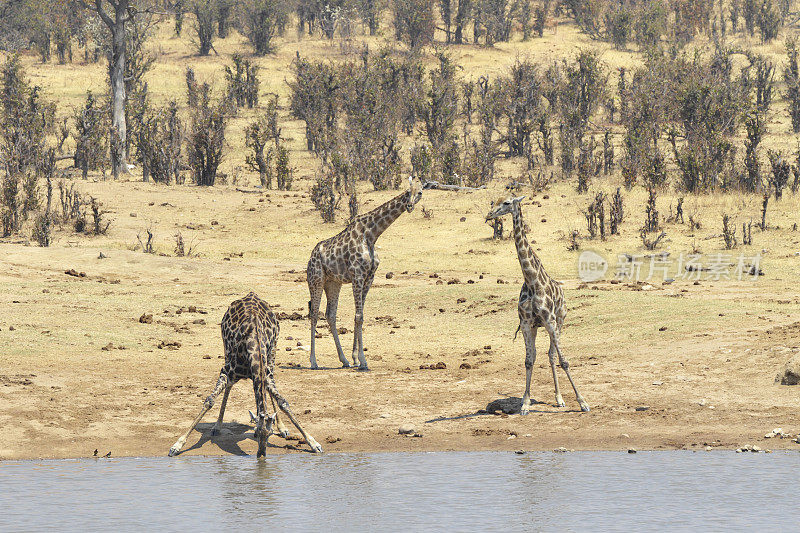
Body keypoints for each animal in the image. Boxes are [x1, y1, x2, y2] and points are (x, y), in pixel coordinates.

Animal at [169, 290, 322, 458]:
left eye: (268, 434)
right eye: (258, 432)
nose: (261, 455)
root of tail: (251, 294)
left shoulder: (265, 374)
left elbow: (283, 402)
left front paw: (313, 443)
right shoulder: (227, 371)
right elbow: (209, 400)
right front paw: (177, 445)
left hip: (273, 350)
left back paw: (282, 428)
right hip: (226, 349)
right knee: (229, 387)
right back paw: (217, 426)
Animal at [306, 179, 424, 370]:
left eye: (420, 192)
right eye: (407, 191)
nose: (409, 205)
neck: (372, 234)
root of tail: (311, 256)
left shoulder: (369, 277)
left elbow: (360, 316)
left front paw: (355, 358)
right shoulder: (358, 275)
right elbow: (358, 316)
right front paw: (363, 361)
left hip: (333, 283)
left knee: (330, 315)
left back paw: (344, 360)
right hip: (316, 280)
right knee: (314, 314)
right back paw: (314, 361)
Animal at [484, 193, 592, 414]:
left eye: (506, 203)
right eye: (493, 202)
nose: (489, 215)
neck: (532, 281)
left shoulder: (550, 321)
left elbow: (564, 361)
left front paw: (583, 402)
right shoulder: (526, 324)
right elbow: (528, 360)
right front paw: (525, 403)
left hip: (559, 322)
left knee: (552, 355)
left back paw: (560, 399)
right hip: (538, 327)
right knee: (542, 355)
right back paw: (555, 397)